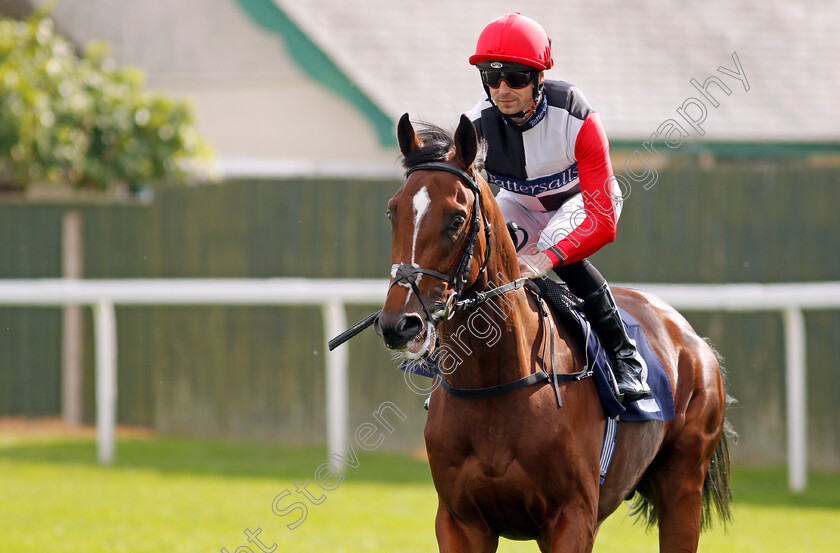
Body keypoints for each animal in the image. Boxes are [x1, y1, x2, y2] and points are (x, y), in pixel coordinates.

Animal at [372, 113, 728, 552]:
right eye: (393, 212)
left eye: (456, 219)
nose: (399, 323)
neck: (495, 385)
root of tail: (694, 340)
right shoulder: (459, 522)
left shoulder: (571, 519)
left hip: (682, 485)